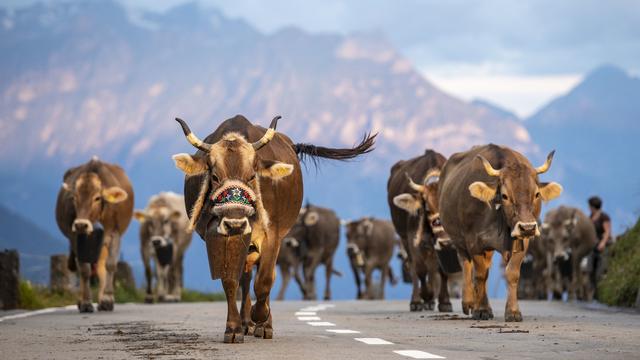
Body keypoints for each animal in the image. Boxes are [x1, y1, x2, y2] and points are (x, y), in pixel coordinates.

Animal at [55, 158, 134, 312]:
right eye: (74, 197)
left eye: (97, 198)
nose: (81, 224)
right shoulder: (75, 237)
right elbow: (84, 269)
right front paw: (86, 302)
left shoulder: (115, 233)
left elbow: (110, 265)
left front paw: (107, 300)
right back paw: (82, 301)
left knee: (101, 266)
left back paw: (102, 300)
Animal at [172, 115, 378, 344]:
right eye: (215, 177)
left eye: (252, 176)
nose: (235, 223)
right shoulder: (218, 235)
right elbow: (231, 280)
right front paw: (234, 328)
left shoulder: (272, 235)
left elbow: (264, 281)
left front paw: (261, 318)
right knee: (246, 277)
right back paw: (246, 322)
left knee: (264, 276)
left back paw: (261, 323)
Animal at [384, 149, 456, 312]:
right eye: (427, 209)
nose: (445, 241)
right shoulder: (413, 239)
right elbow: (420, 269)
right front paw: (426, 296)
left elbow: (442, 271)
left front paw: (444, 302)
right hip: (404, 238)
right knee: (414, 267)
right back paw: (417, 301)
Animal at [438, 143, 564, 320]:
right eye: (504, 196)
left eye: (537, 194)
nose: (528, 227)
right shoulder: (473, 241)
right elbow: (480, 275)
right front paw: (481, 309)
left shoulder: (523, 241)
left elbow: (512, 273)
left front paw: (513, 311)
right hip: (458, 241)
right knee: (467, 266)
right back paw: (469, 303)